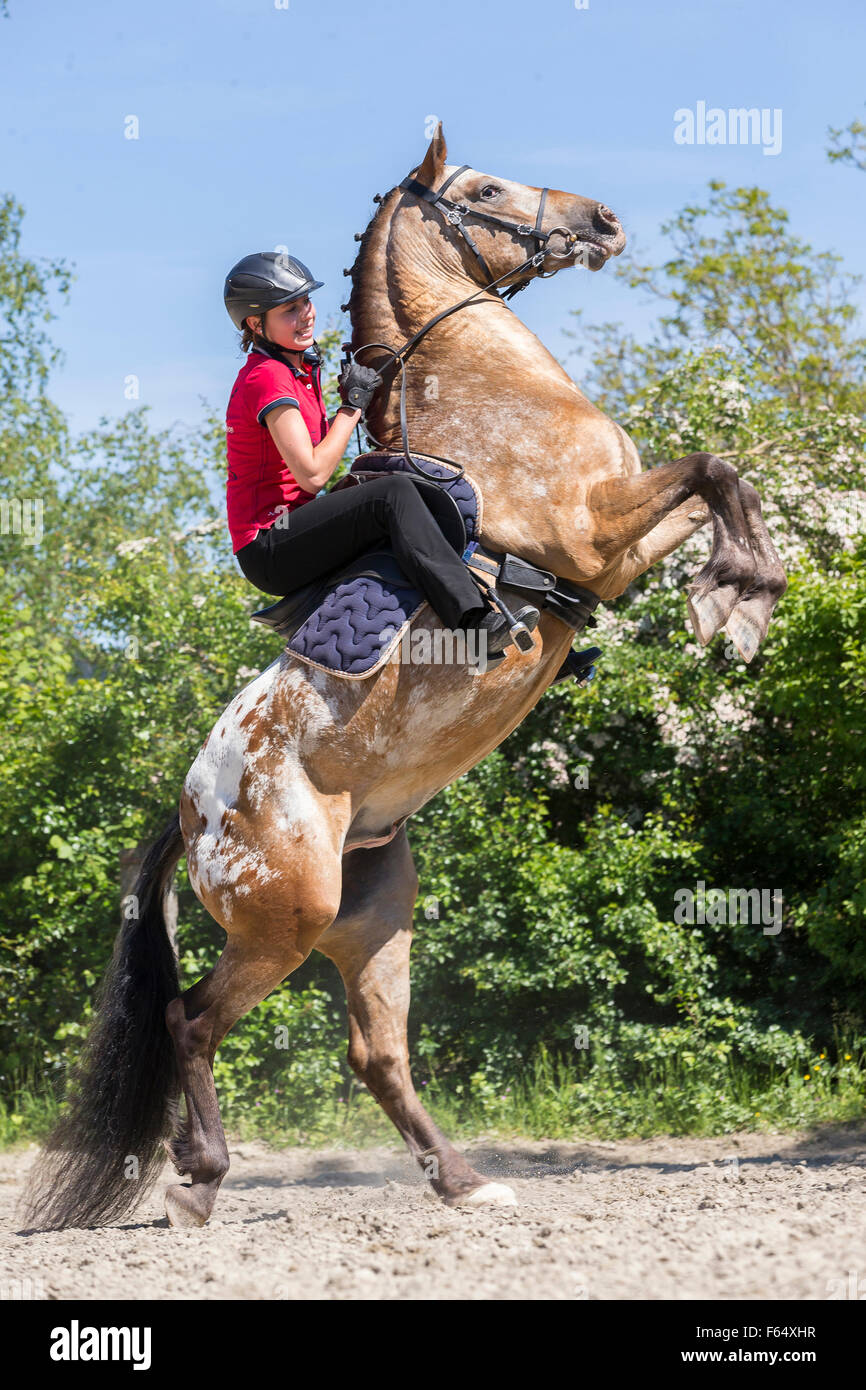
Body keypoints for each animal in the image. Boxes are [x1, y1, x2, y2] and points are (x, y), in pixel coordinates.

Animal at [25, 119, 783, 1228]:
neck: (479, 386)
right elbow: (713, 468)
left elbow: (721, 475)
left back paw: (464, 1183)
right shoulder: (591, 535)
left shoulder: (616, 542)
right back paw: (198, 1180)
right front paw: (740, 597)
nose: (602, 219)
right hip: (287, 918)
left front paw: (734, 595)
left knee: (375, 1055)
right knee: (190, 1020)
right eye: (483, 187)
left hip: (374, 913)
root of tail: (192, 809)